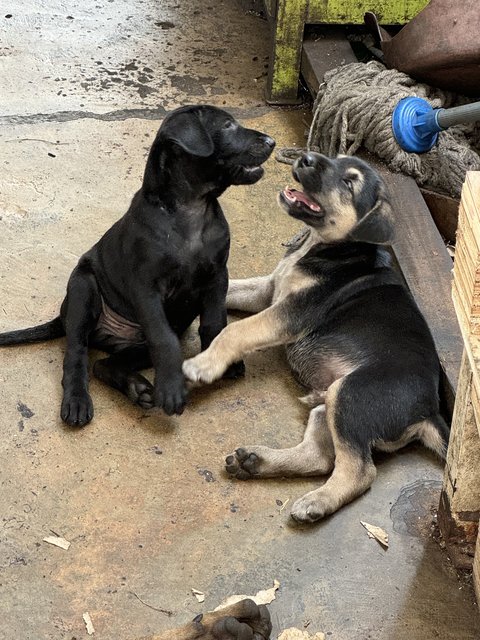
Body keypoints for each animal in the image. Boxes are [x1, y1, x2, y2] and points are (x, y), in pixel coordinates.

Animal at [0, 105, 276, 424]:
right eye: (228, 126)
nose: (272, 142)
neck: (191, 210)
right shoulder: (146, 288)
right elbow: (164, 339)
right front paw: (171, 389)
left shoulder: (218, 275)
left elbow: (215, 322)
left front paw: (218, 361)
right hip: (83, 288)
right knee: (77, 354)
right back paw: (78, 401)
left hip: (141, 344)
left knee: (104, 364)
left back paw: (136, 388)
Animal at [184, 152, 450, 524]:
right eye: (336, 159)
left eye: (349, 182)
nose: (306, 157)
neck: (324, 246)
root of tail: (430, 410)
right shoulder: (268, 291)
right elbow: (230, 288)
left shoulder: (290, 312)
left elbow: (236, 330)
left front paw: (203, 364)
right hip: (328, 403)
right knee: (320, 457)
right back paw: (256, 462)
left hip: (351, 393)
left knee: (360, 470)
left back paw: (317, 502)